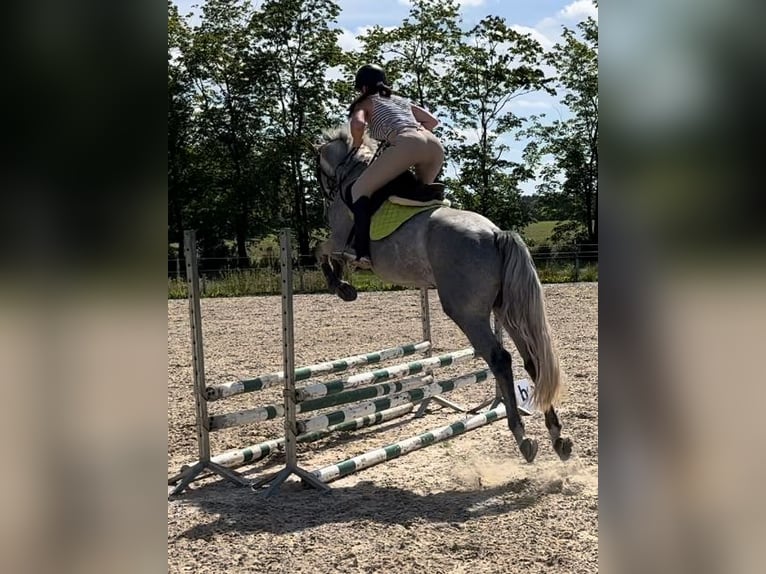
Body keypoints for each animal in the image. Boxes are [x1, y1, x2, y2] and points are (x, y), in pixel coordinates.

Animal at [313, 126, 572, 463]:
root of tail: (495, 233)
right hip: (505, 310)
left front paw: (341, 287)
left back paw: (522, 437)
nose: (324, 198)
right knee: (531, 359)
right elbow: (323, 252)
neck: (351, 174)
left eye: (317, 172)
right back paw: (557, 437)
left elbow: (320, 250)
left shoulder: (339, 240)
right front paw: (343, 283)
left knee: (500, 358)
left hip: (465, 312)